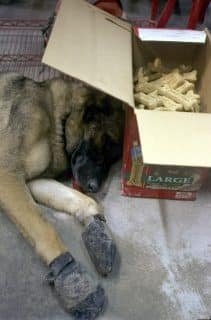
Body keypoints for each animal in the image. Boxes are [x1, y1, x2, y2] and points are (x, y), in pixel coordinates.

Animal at [0, 73, 123, 320]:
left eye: (112, 158)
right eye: (101, 143)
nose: (94, 186)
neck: (55, 116)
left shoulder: (33, 182)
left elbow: (81, 200)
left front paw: (96, 227)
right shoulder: (7, 172)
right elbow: (44, 228)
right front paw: (69, 273)